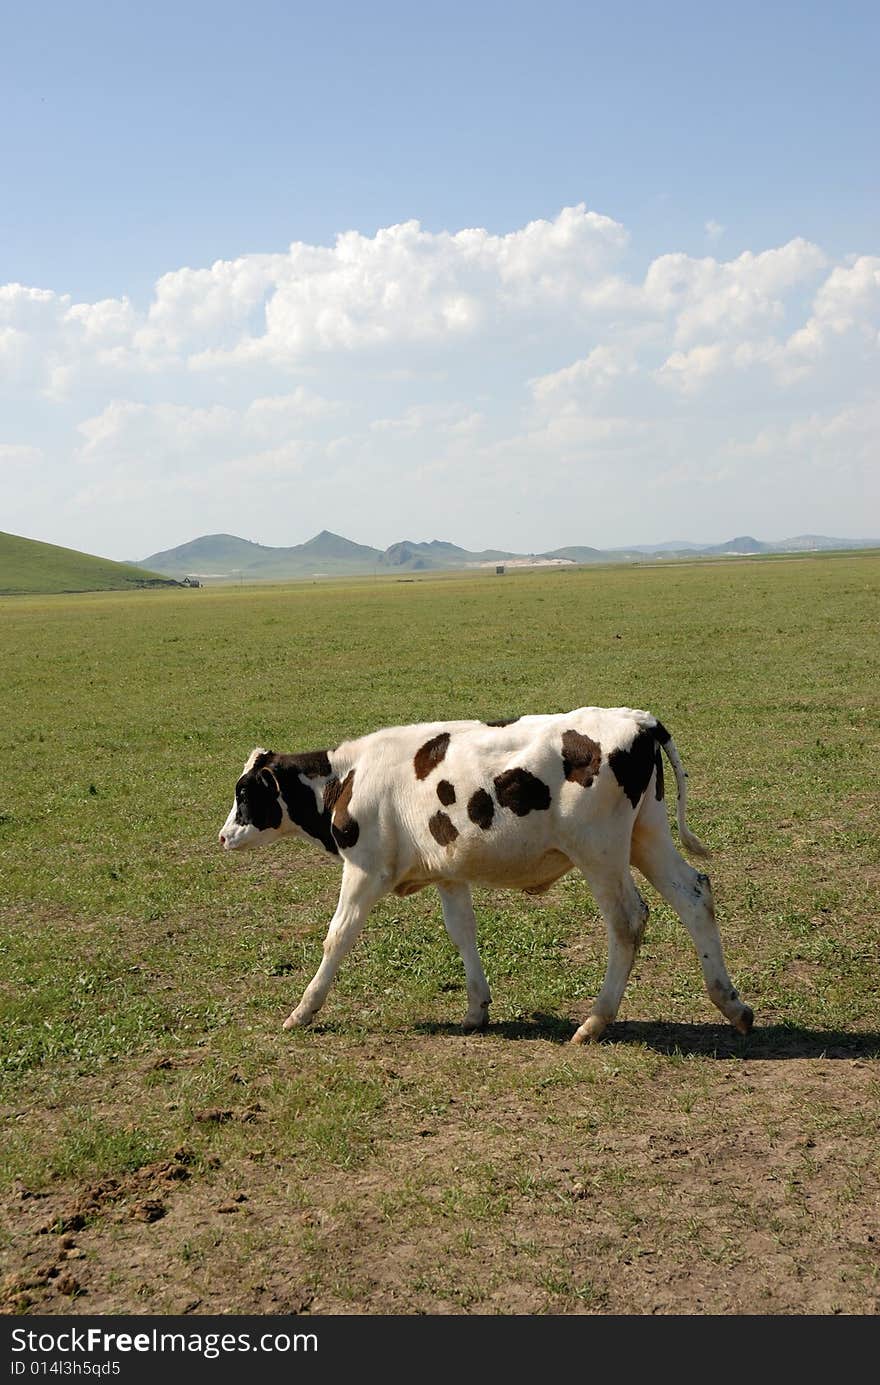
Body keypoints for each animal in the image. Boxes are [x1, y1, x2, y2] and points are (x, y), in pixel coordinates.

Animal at [217, 709, 753, 1041]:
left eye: (245, 793)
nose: (223, 836)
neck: (349, 777)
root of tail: (638, 720)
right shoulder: (449, 872)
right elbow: (463, 933)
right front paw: (476, 1009)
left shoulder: (365, 870)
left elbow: (338, 936)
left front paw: (303, 1011)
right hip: (648, 837)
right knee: (694, 895)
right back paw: (731, 1004)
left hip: (600, 854)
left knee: (628, 920)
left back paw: (595, 1021)